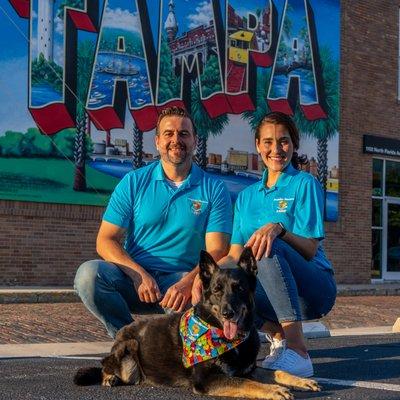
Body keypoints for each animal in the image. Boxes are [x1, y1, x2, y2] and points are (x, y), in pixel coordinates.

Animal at [73, 248, 320, 398]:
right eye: (217, 290)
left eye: (239, 288)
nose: (228, 313)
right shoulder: (208, 379)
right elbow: (245, 384)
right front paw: (274, 391)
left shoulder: (247, 370)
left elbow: (276, 372)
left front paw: (300, 381)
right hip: (128, 348)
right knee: (105, 364)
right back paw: (109, 377)